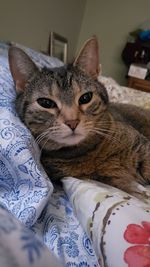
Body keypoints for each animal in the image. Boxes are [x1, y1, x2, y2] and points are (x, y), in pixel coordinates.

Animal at [7, 37, 150, 201]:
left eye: (86, 98)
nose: (72, 122)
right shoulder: (108, 178)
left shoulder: (142, 147)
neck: (89, 152)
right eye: (46, 103)